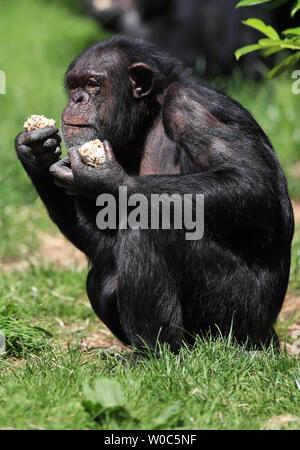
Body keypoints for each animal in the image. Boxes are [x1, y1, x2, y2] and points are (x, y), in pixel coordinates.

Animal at [15, 36, 294, 356]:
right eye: (74, 86)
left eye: (93, 84)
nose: (78, 100)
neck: (148, 117)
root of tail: (269, 336)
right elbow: (103, 246)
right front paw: (34, 152)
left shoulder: (194, 110)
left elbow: (251, 181)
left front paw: (108, 179)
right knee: (103, 275)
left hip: (237, 317)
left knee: (153, 223)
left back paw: (151, 353)